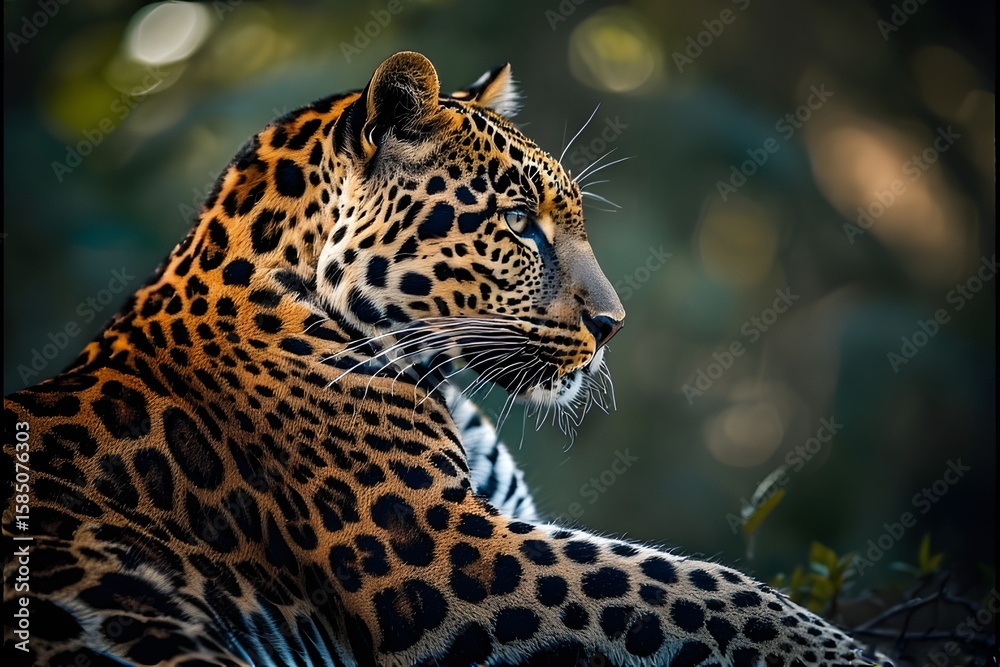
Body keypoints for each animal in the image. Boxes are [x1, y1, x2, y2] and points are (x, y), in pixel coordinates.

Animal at [3, 51, 888, 666]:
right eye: (519, 222)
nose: (613, 323)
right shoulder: (448, 549)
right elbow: (704, 589)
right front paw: (850, 654)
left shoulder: (497, 522)